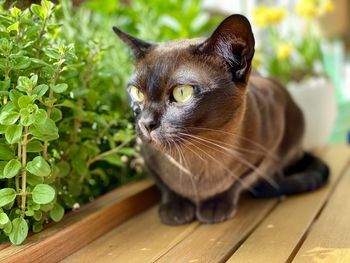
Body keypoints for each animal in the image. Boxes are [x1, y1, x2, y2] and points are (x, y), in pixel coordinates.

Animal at [113, 14, 330, 225]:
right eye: (137, 93)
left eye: (182, 92)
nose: (145, 123)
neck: (196, 160)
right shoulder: (145, 154)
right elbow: (166, 185)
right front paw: (176, 209)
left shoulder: (268, 148)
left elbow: (240, 180)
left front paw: (215, 206)